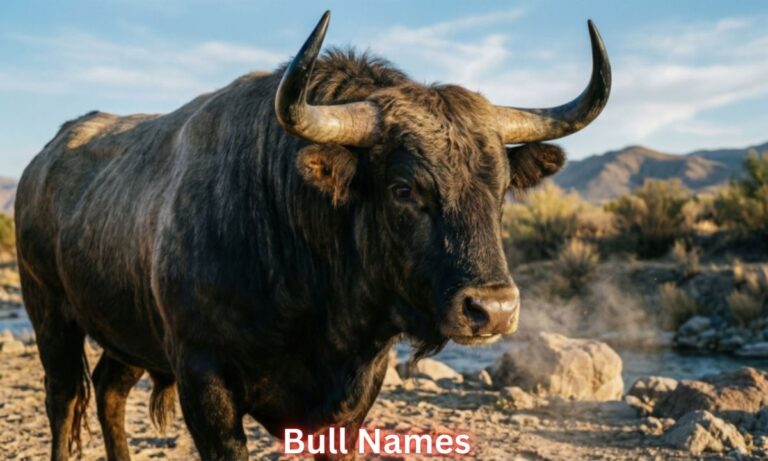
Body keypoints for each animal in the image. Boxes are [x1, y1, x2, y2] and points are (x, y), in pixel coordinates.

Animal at [15, 10, 610, 461]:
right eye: (403, 188)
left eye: (502, 187)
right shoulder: (204, 380)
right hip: (50, 315)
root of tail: (43, 160)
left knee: (110, 392)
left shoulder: (352, 400)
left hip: (126, 333)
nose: (494, 309)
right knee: (64, 400)